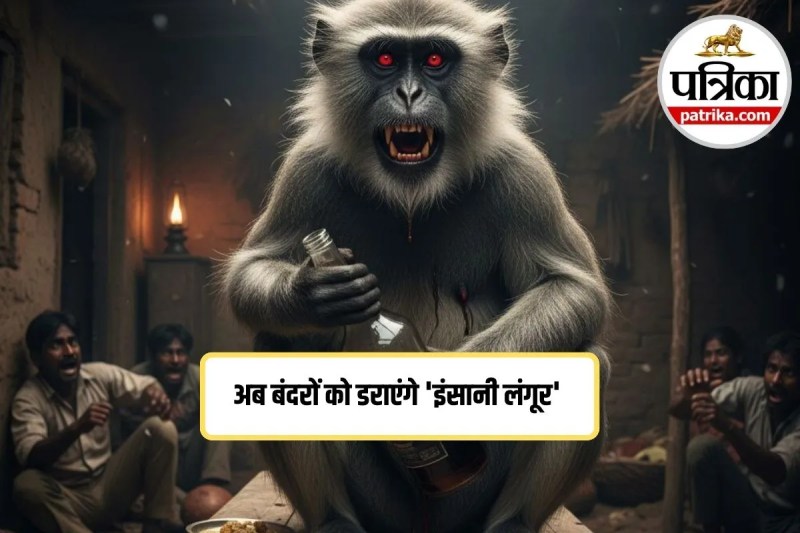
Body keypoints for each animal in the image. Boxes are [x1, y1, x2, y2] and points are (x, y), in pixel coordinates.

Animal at [221, 0, 613, 531]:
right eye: (385, 59)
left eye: (434, 60)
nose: (409, 94)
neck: (410, 199)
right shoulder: (306, 166)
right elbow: (251, 272)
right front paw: (315, 295)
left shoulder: (522, 167)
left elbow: (572, 286)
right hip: (384, 505)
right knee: (275, 345)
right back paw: (334, 520)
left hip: (471, 498)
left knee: (589, 358)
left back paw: (511, 523)